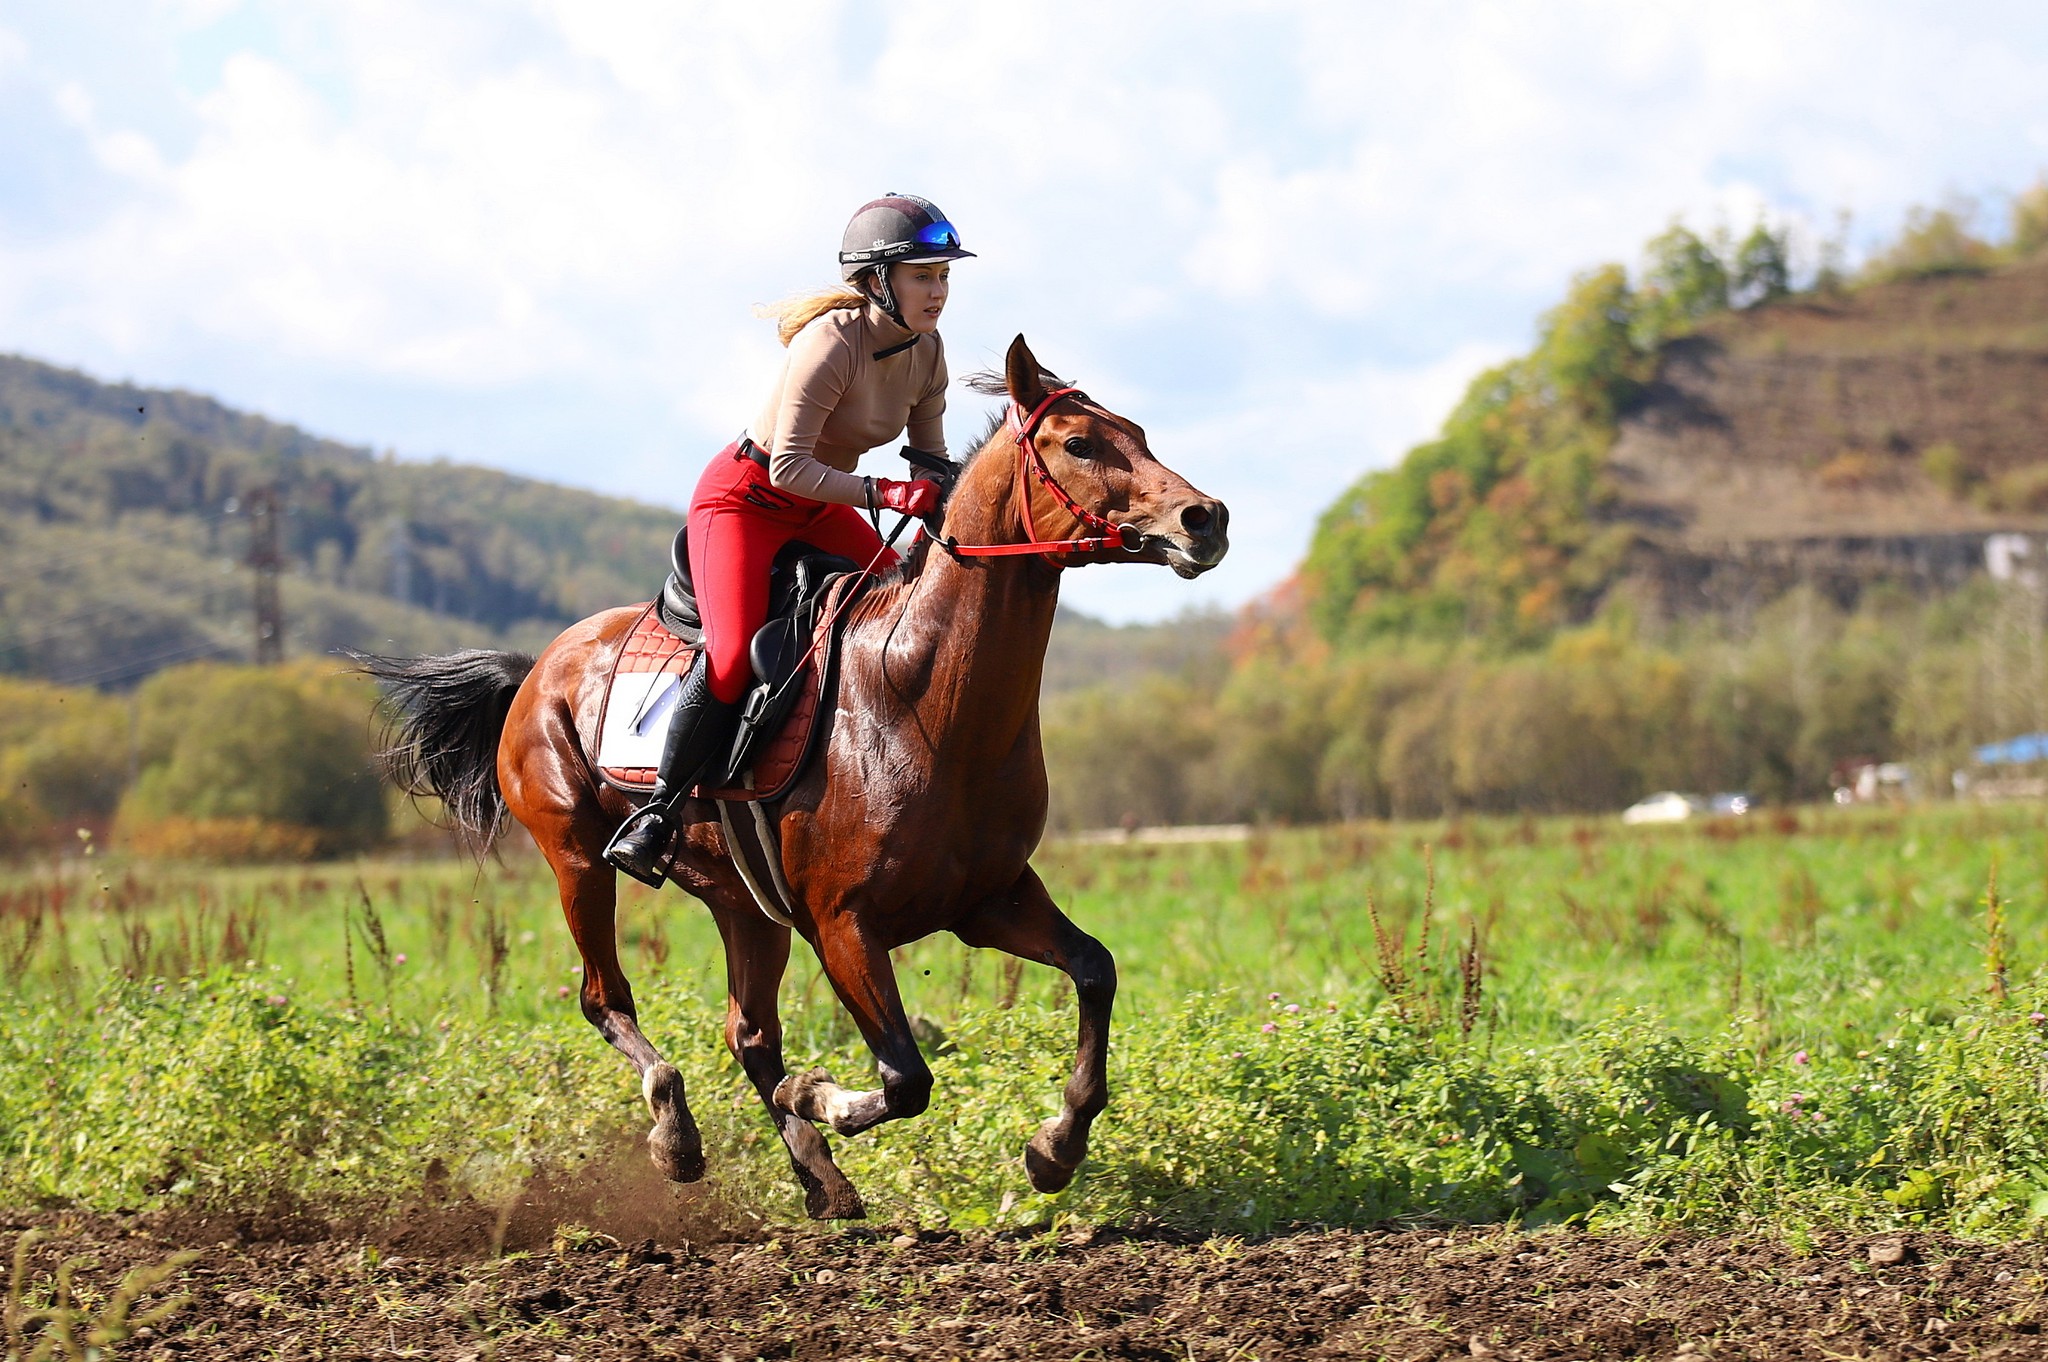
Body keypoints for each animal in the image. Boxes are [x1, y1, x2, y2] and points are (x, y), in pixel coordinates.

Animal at [364, 333, 1228, 1212]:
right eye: (1080, 444)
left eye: (1139, 432)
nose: (1206, 518)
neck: (923, 699)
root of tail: (537, 667)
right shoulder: (844, 925)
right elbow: (906, 1077)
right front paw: (824, 1097)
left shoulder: (987, 899)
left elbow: (1094, 969)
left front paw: (1054, 1147)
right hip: (576, 856)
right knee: (607, 997)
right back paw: (678, 1133)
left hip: (742, 900)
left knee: (748, 1033)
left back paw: (822, 1180)